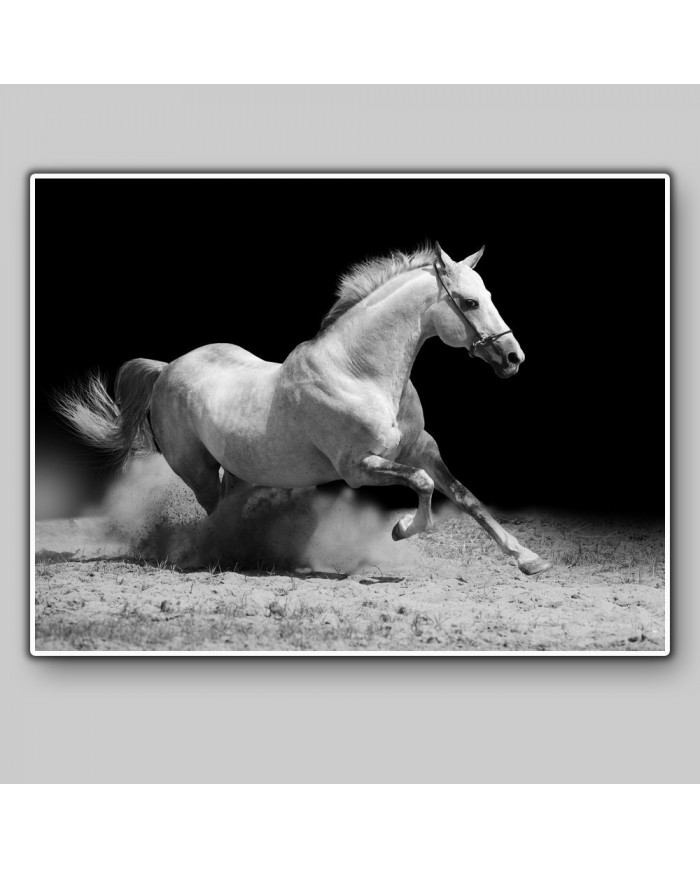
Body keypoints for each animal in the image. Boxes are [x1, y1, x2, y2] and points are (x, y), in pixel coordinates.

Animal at [56, 242, 551, 575]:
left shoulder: (421, 450)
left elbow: (466, 497)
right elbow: (424, 486)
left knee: (230, 508)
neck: (359, 373)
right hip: (195, 469)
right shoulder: (359, 466)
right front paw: (400, 529)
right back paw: (220, 555)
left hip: (240, 470)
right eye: (469, 301)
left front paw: (529, 558)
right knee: (215, 512)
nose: (513, 358)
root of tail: (168, 367)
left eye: (489, 295)